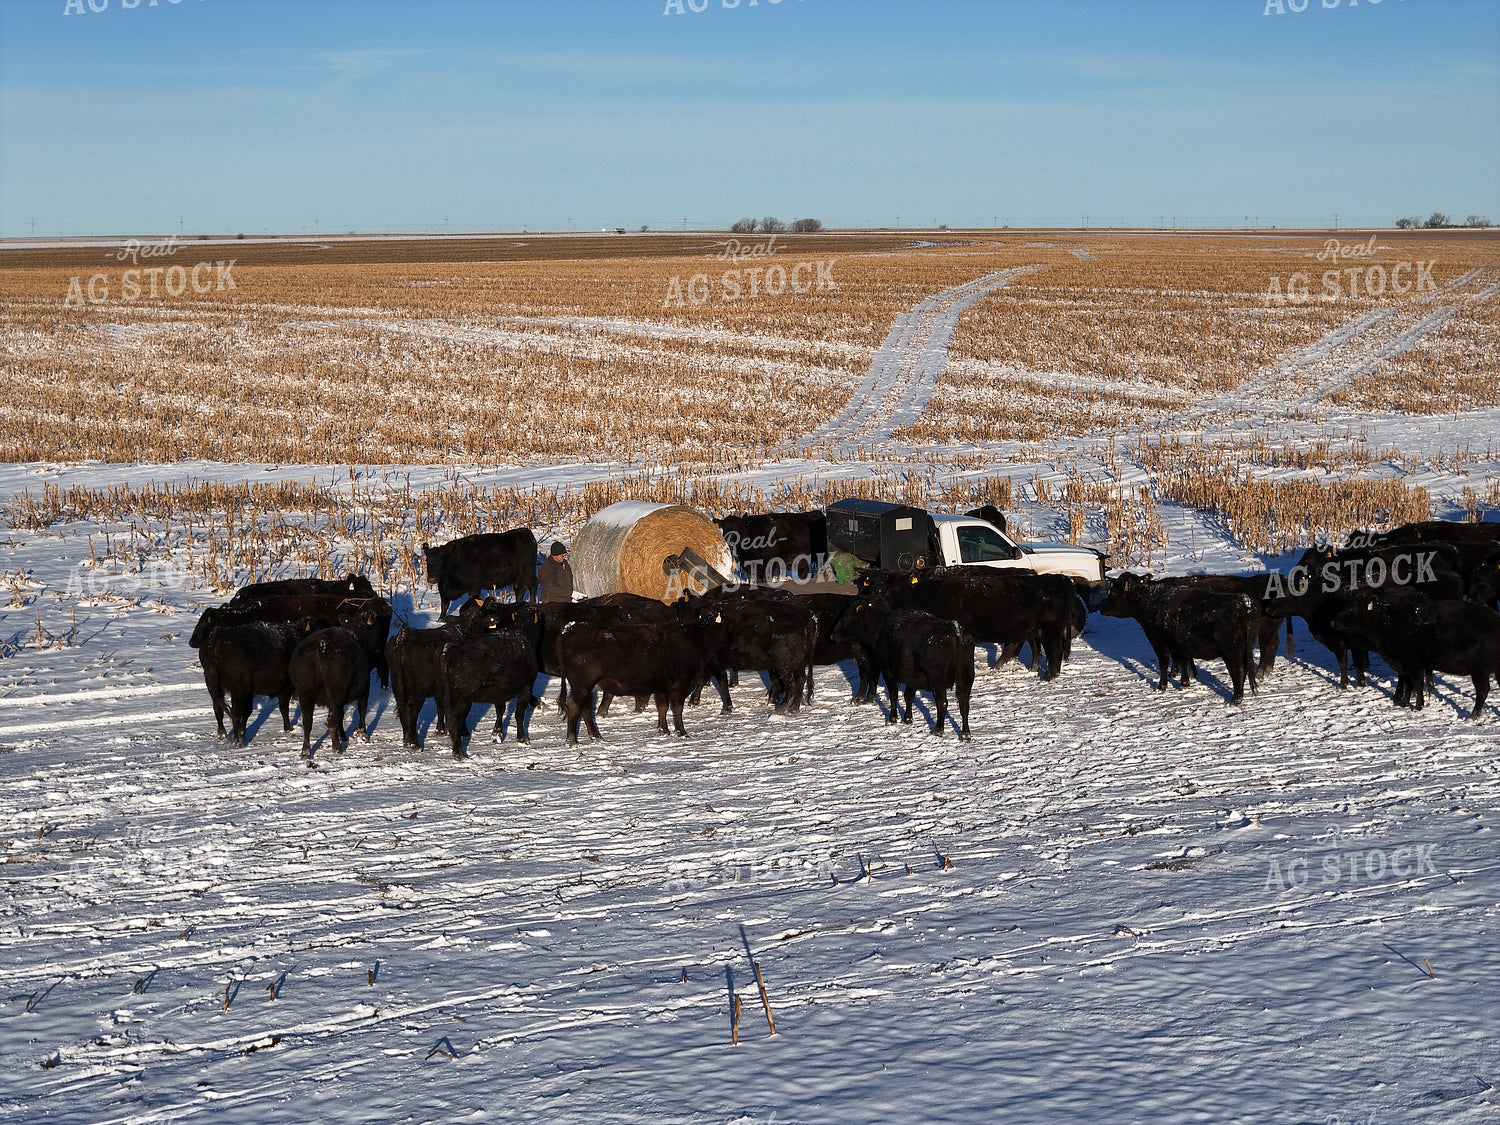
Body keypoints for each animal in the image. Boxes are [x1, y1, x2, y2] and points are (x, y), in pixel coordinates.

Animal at [289, 627, 371, 761]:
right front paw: (362, 733)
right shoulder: (364, 690)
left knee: (307, 721)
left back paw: (306, 752)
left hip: (306, 693)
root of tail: (321, 645)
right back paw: (337, 748)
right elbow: (361, 709)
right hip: (335, 693)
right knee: (332, 719)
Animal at [439, 619, 542, 757]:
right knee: (455, 721)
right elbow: (519, 714)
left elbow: (500, 710)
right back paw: (459, 754)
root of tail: (451, 653)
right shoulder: (526, 688)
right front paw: (522, 738)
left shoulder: (500, 693)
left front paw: (496, 734)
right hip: (462, 699)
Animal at [557, 620, 721, 743]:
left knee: (585, 708)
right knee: (574, 706)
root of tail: (570, 629)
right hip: (582, 685)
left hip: (586, 687)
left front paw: (664, 731)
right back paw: (572, 740)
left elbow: (662, 707)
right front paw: (682, 732)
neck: (694, 638)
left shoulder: (661, 686)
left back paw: (596, 737)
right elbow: (677, 708)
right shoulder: (680, 682)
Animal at [829, 600, 974, 738]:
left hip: (937, 679)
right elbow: (908, 696)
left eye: (847, 618)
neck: (881, 627)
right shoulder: (912, 677)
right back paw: (966, 735)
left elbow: (894, 696)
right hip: (966, 676)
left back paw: (938, 730)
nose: (831, 636)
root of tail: (953, 627)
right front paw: (907, 719)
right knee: (964, 704)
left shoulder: (888, 672)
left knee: (942, 703)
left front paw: (892, 718)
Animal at [1100, 573, 1257, 703]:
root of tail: (1243, 602)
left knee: (1238, 671)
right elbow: (1183, 662)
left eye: (1114, 592)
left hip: (1231, 652)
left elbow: (1164, 663)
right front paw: (1184, 683)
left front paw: (1161, 686)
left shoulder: (1158, 641)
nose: (1101, 607)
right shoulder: (1179, 644)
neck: (1152, 600)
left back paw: (1236, 699)